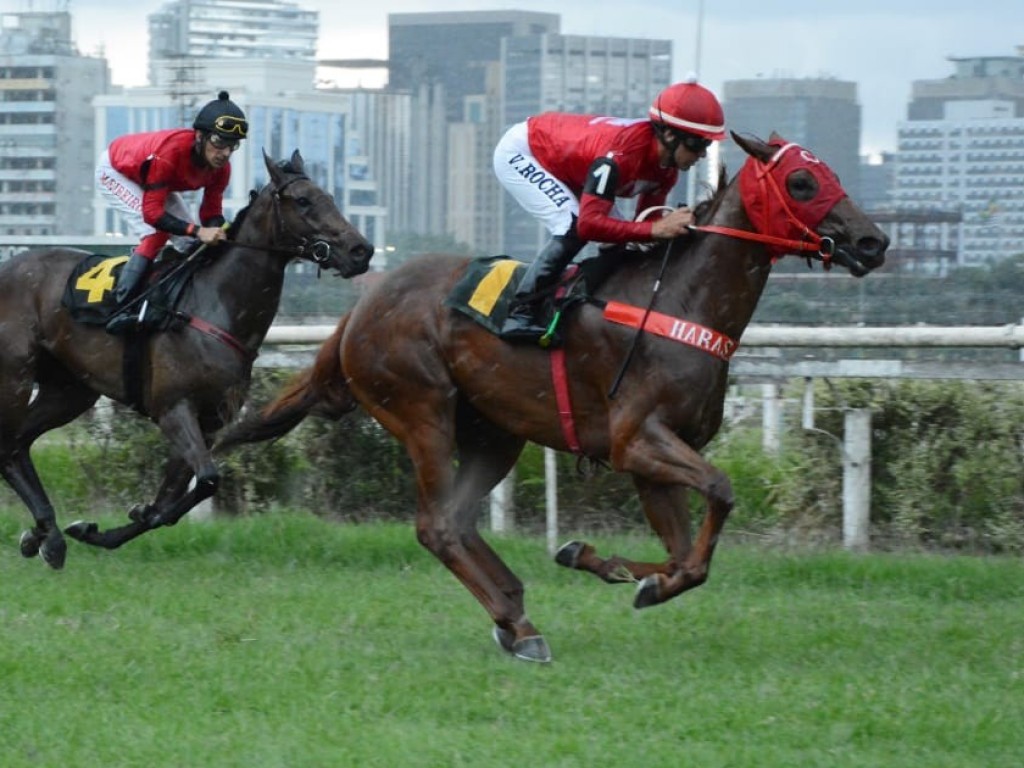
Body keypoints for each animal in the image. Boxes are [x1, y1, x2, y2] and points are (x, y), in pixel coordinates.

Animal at [0, 151, 376, 573]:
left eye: (329, 196)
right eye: (303, 201)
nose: (361, 251)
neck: (214, 306)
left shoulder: (208, 421)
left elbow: (172, 499)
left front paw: (106, 527)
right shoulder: (174, 409)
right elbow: (209, 478)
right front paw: (102, 526)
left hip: (69, 391)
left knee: (16, 446)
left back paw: (45, 535)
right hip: (14, 376)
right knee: (7, 443)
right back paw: (46, 533)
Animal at [218, 132, 888, 663]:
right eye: (802, 181)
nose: (873, 241)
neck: (680, 302)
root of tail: (362, 305)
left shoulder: (651, 460)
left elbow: (685, 560)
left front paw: (607, 565)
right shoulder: (636, 440)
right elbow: (718, 497)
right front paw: (617, 569)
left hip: (495, 431)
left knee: (458, 520)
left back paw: (512, 613)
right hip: (421, 409)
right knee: (437, 526)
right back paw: (519, 624)